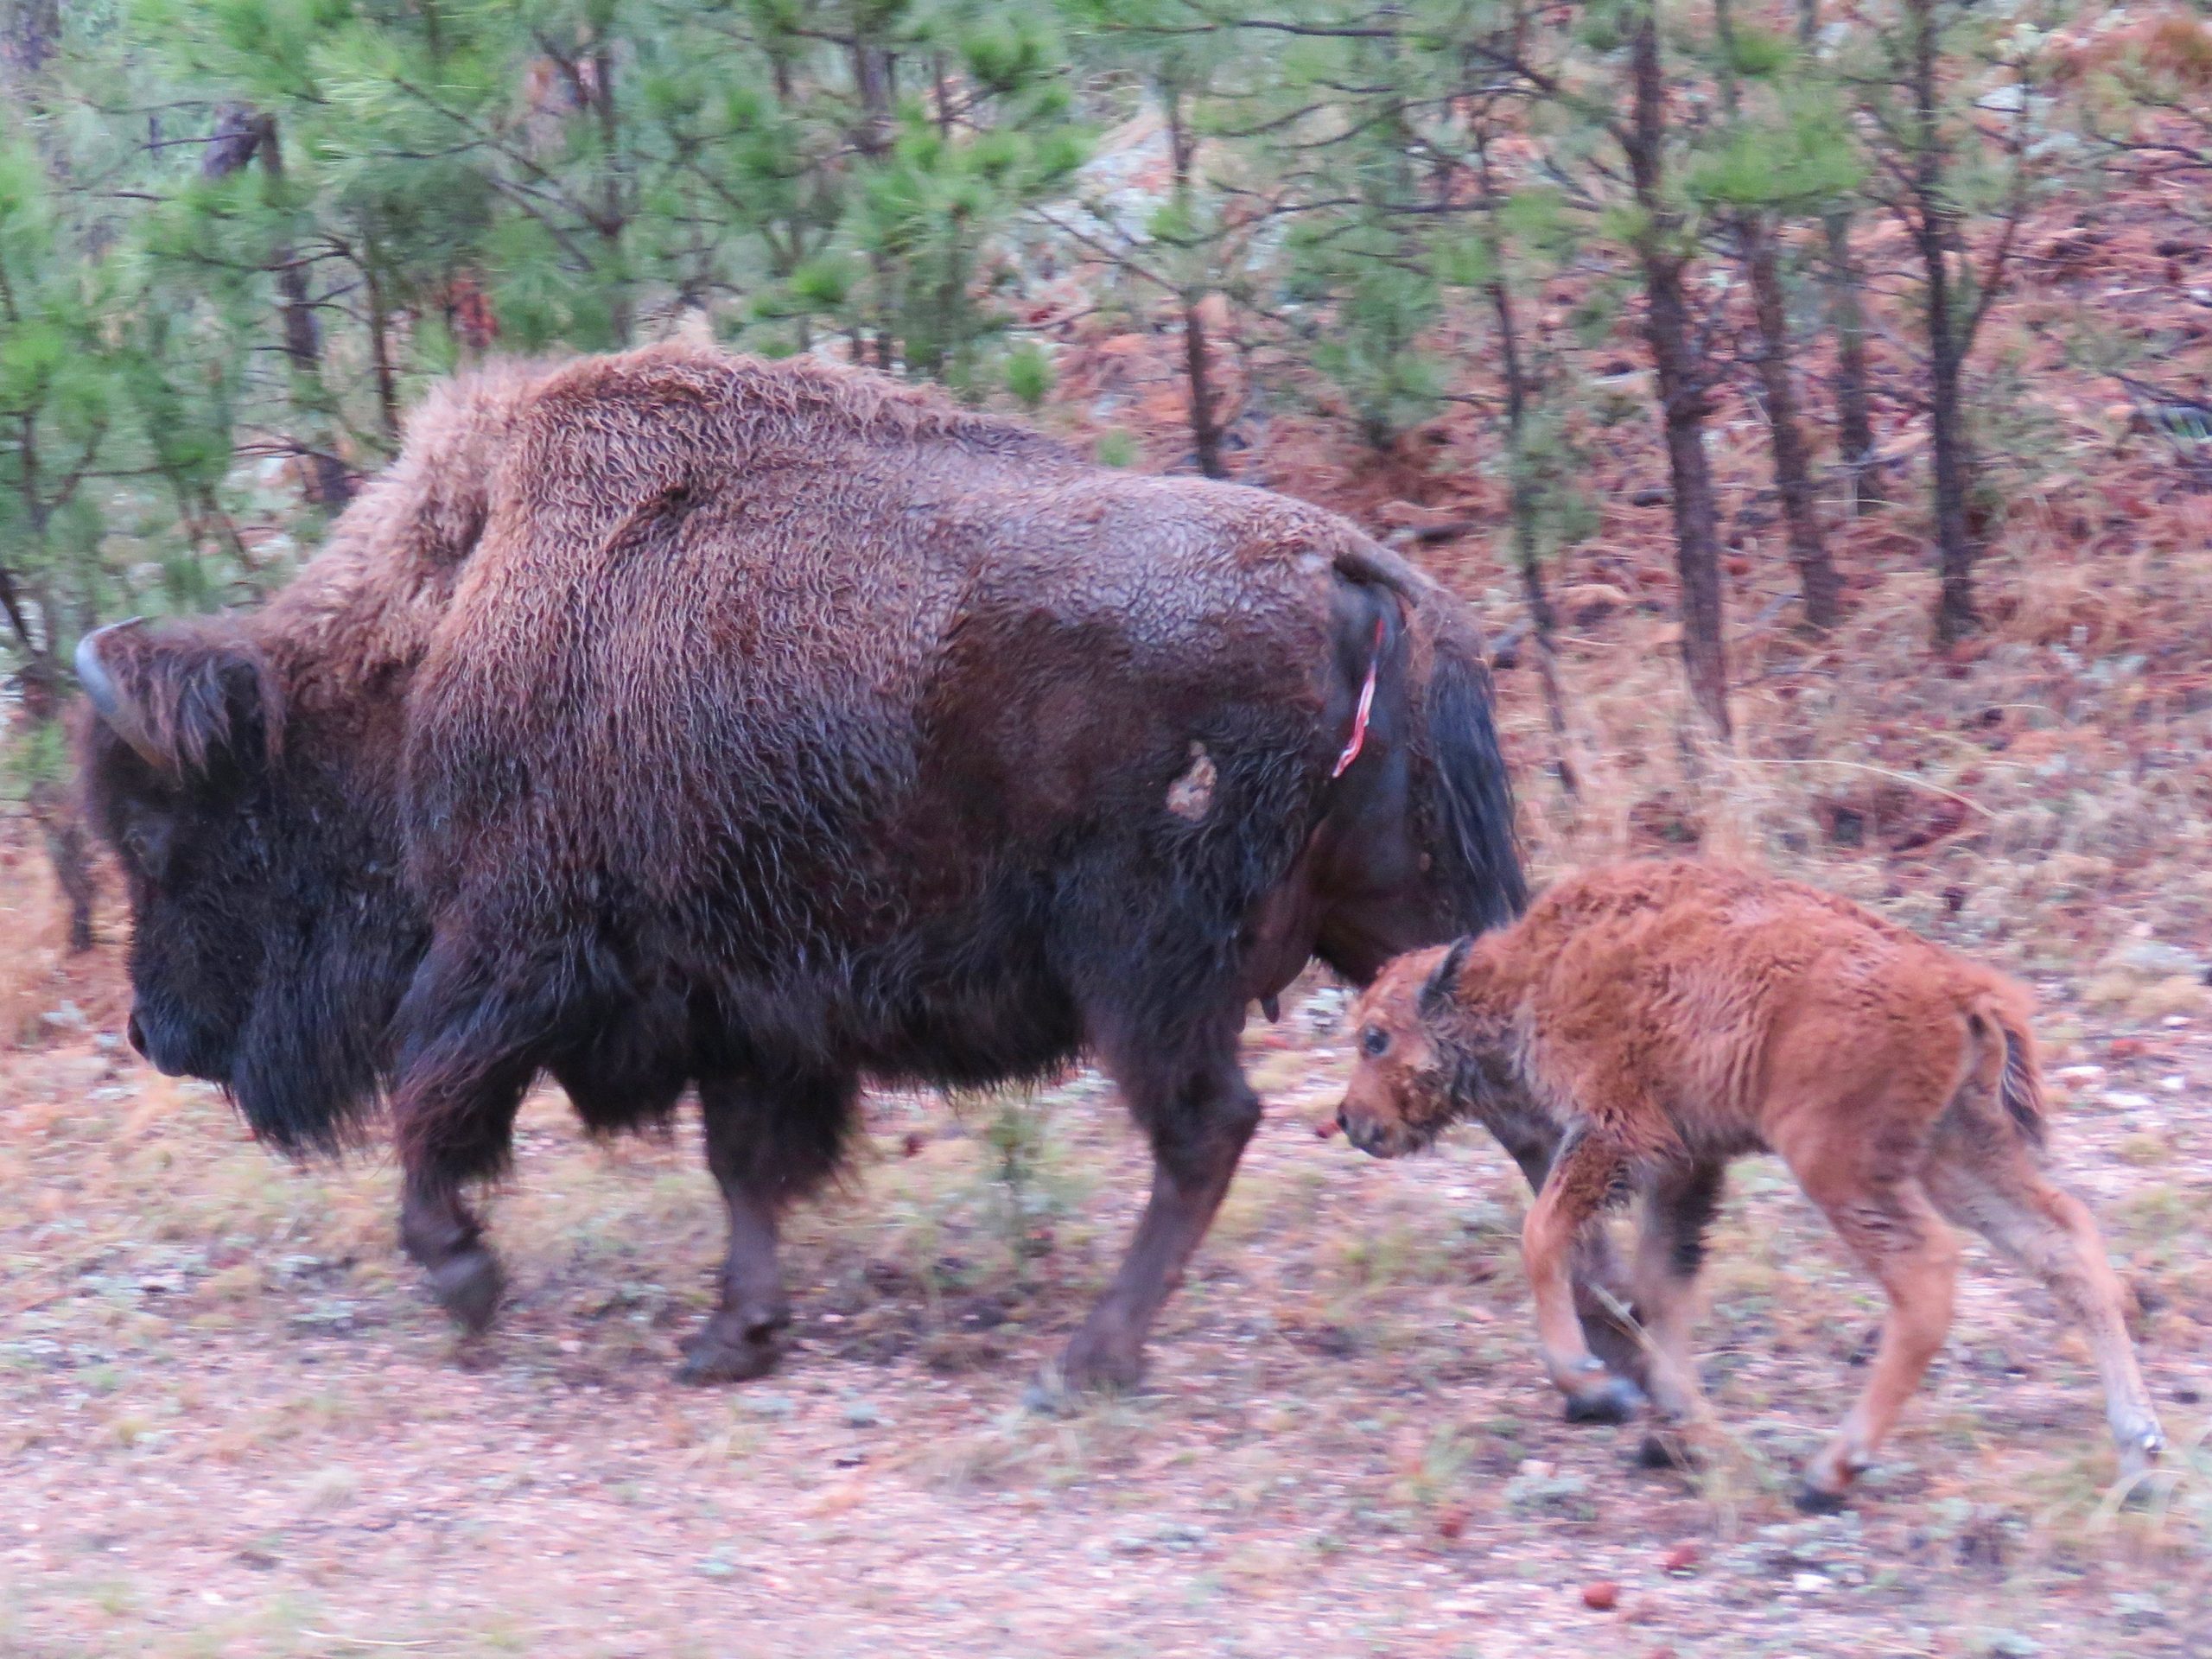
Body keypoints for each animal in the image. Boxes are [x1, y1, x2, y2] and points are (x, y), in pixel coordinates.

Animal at [79, 344, 1634, 1389]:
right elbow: (743, 1164)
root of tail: (1354, 575)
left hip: (1145, 960)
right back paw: (1613, 1354)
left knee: (1208, 1130)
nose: (154, 1032)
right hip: (1405, 914)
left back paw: (1086, 1360)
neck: (441, 641)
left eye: (165, 834)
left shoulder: (516, 955)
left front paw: (466, 1281)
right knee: (1524, 1105)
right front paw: (734, 1336)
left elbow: (432, 1096)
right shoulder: (745, 1002)